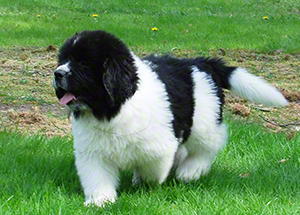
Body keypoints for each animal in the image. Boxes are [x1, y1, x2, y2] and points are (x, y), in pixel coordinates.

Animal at [52, 29, 288, 207]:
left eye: (83, 63)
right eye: (64, 60)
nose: (57, 73)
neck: (112, 109)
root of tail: (199, 63)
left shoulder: (158, 146)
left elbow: (153, 171)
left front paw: (146, 183)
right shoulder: (93, 151)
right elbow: (97, 176)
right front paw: (100, 202)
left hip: (204, 122)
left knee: (208, 145)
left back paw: (190, 171)